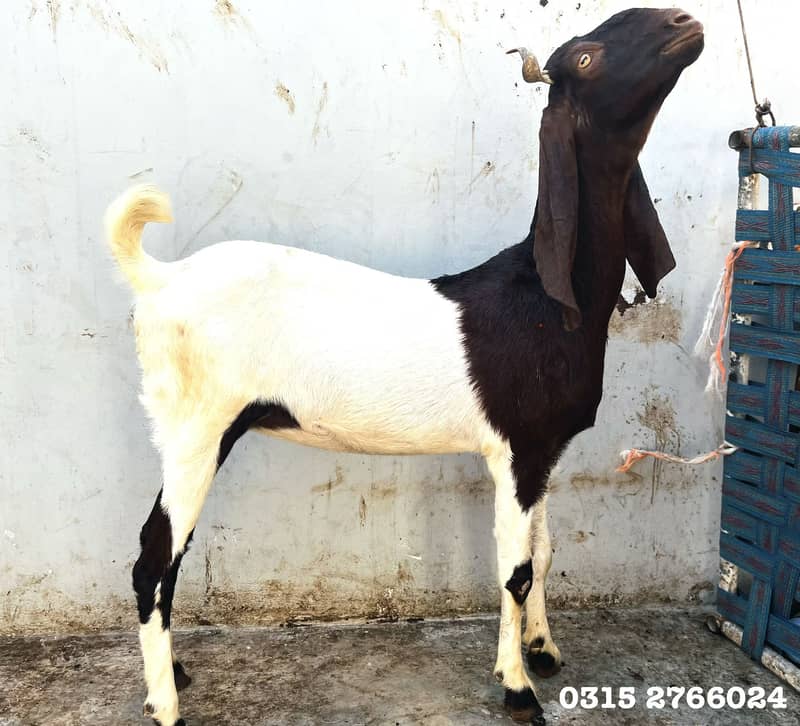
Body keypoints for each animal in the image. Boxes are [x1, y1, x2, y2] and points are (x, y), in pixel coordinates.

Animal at [106, 8, 703, 725]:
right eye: (587, 58)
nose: (687, 23)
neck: (544, 295)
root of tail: (159, 279)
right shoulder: (515, 450)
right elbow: (515, 569)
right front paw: (516, 688)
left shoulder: (543, 450)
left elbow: (544, 552)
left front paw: (543, 650)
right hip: (196, 424)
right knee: (153, 557)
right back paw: (165, 705)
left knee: (168, 555)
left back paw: (173, 675)